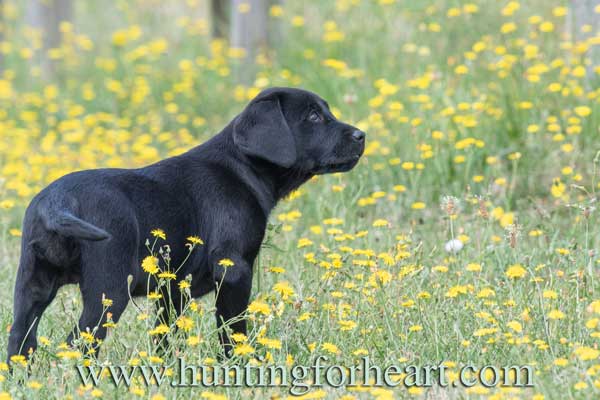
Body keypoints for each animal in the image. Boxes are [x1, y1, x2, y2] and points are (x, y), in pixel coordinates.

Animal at [5, 86, 366, 360]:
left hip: (32, 286)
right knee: (77, 343)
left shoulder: (172, 290)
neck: (242, 167)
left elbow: (164, 336)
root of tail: (55, 202)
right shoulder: (234, 271)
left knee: (19, 341)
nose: (362, 135)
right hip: (108, 291)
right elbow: (232, 331)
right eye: (314, 117)